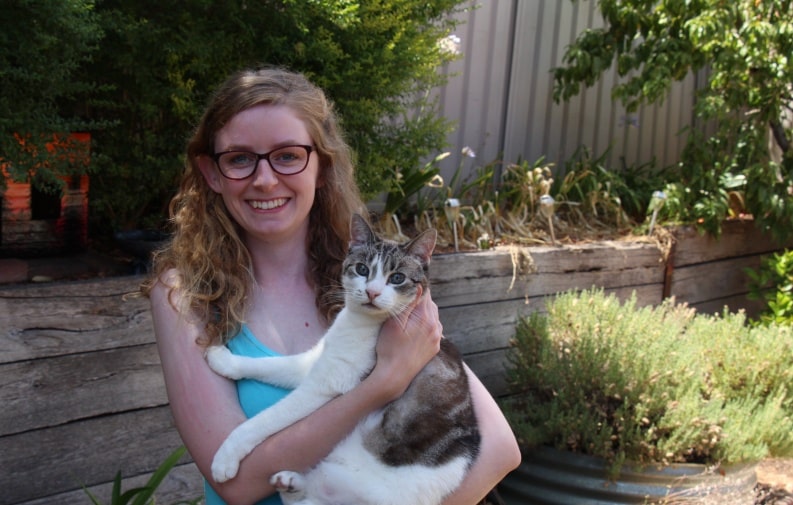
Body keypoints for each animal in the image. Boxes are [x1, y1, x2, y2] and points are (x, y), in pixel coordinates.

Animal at [204, 214, 476, 504]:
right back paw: (289, 482)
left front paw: (225, 457)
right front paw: (223, 360)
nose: (372, 292)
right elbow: (272, 365)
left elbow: (266, 419)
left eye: (397, 278)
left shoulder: (327, 384)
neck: (359, 322)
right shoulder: (317, 359)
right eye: (362, 269)